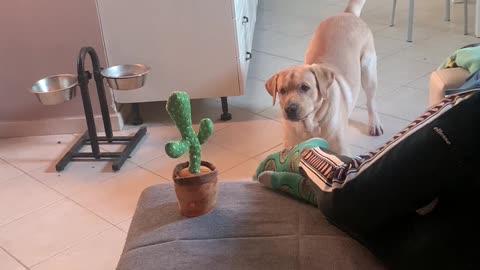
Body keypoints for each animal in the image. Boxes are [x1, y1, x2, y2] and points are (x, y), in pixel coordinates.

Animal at [264, 0, 384, 155]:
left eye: (305, 87)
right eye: (282, 90)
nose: (290, 109)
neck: (310, 125)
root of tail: (347, 14)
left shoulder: (341, 149)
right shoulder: (289, 145)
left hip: (368, 70)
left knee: (371, 101)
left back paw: (374, 123)